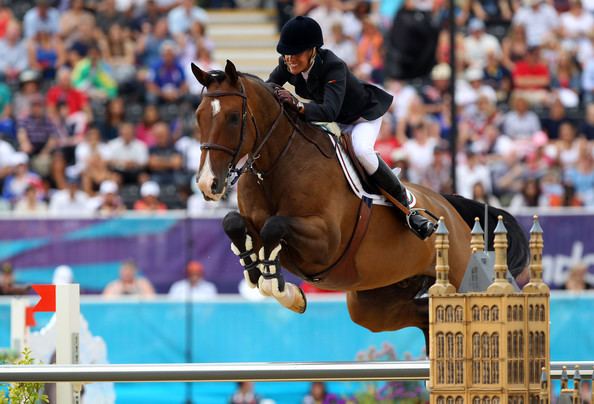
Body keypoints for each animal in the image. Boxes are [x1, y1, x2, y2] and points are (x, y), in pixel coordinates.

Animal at [191, 60, 528, 344]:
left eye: (233, 117)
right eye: (198, 116)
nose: (208, 184)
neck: (276, 165)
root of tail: (450, 210)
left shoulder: (325, 242)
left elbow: (275, 227)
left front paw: (286, 292)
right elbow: (233, 223)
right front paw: (259, 271)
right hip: (374, 302)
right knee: (424, 315)